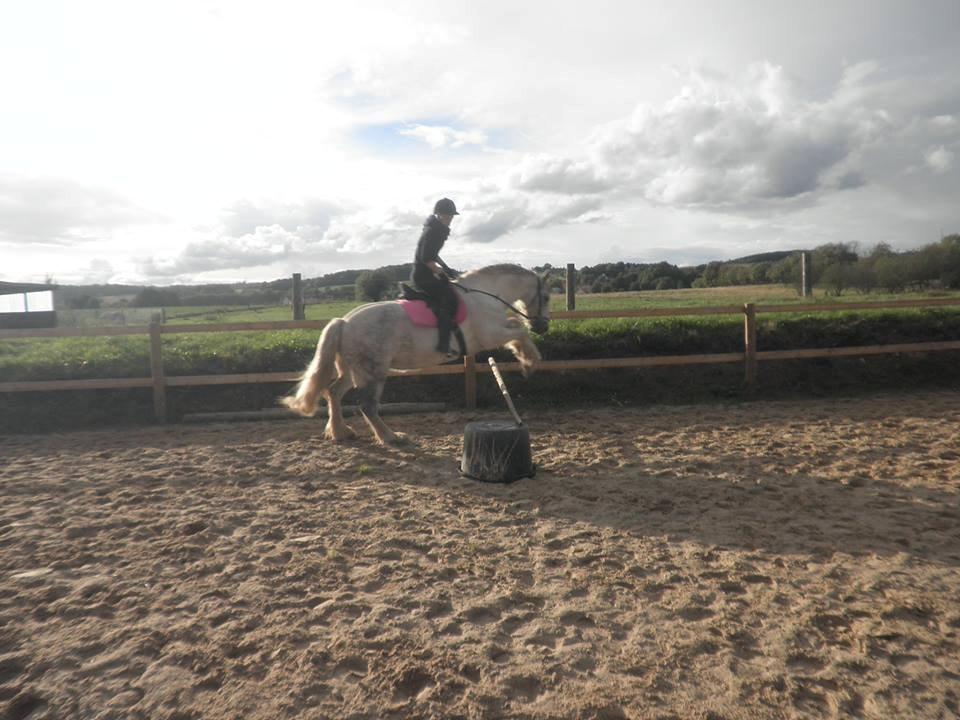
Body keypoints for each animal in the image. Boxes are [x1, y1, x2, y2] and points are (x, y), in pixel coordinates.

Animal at [280, 264, 548, 444]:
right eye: (545, 296)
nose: (543, 327)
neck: (485, 295)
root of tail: (344, 322)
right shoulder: (489, 335)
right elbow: (519, 330)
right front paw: (530, 361)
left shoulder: (497, 329)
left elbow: (515, 325)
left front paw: (523, 356)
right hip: (374, 371)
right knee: (367, 406)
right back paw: (391, 437)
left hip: (352, 370)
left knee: (333, 392)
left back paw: (341, 432)